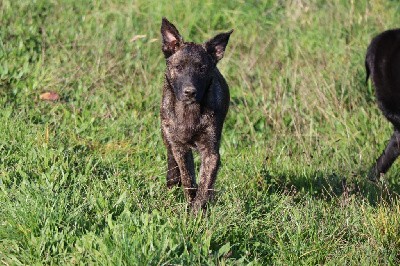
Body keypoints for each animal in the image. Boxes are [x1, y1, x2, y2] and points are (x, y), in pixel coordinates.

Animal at [160, 17, 233, 213]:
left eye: (202, 69)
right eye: (178, 67)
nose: (190, 92)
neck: (189, 111)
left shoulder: (211, 153)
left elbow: (204, 184)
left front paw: (197, 211)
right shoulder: (180, 148)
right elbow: (188, 180)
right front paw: (190, 205)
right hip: (167, 137)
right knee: (172, 164)